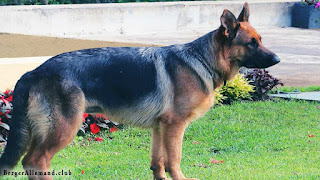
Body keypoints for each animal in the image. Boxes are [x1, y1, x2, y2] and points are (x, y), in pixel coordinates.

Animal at [0, 2, 280, 179]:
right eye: (251, 43)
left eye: (261, 40)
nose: (277, 59)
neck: (202, 59)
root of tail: (33, 71)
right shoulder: (175, 126)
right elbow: (174, 161)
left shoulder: (160, 127)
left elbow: (158, 164)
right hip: (64, 128)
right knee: (35, 161)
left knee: (32, 162)